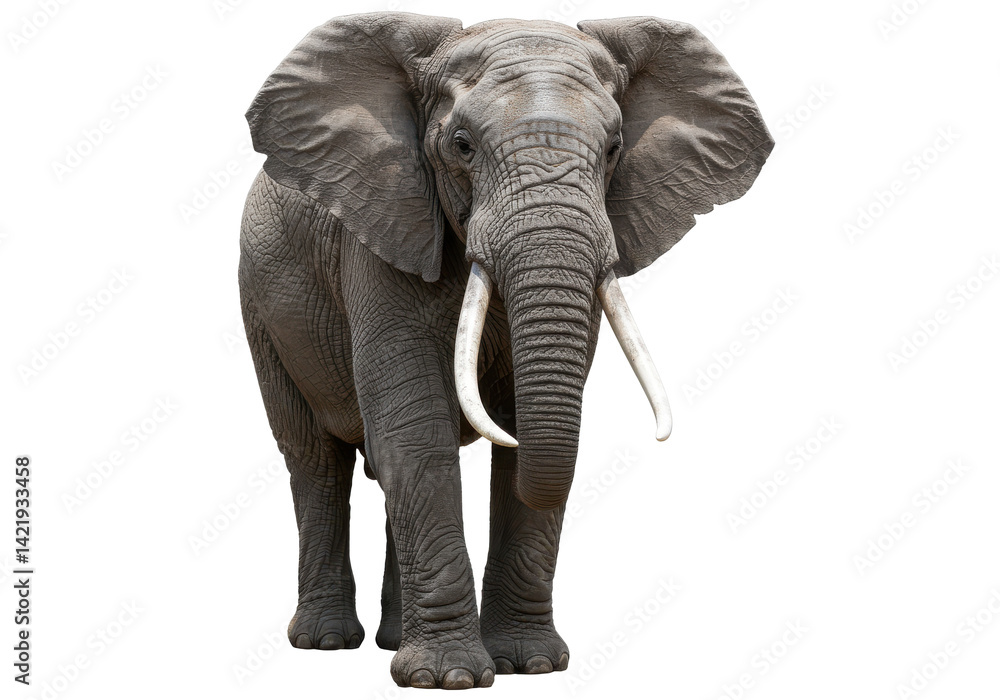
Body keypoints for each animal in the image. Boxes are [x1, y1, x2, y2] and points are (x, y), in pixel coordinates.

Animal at [238, 11, 772, 690]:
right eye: (462, 145)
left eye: (614, 149)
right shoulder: (380, 236)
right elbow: (418, 437)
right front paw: (447, 679)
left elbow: (517, 440)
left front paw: (531, 665)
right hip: (261, 306)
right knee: (314, 459)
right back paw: (325, 642)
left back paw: (391, 641)